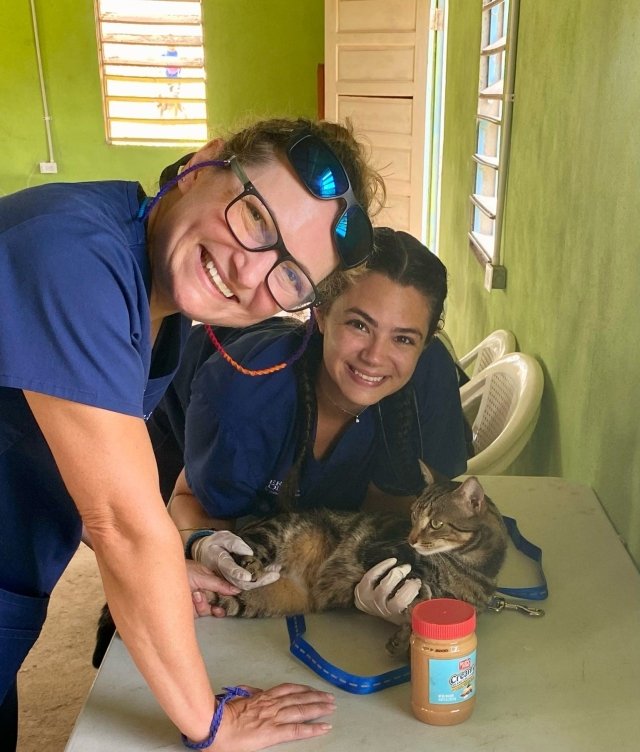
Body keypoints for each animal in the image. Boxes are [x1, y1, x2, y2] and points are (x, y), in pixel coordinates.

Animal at [208, 478, 508, 656]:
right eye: (413, 517)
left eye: (435, 523)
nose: (411, 538)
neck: (471, 568)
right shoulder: (380, 553)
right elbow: (421, 593)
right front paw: (407, 626)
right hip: (271, 535)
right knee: (243, 554)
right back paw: (248, 565)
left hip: (251, 600)